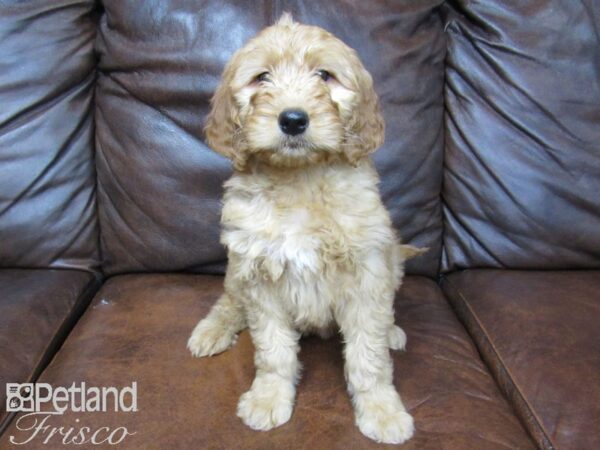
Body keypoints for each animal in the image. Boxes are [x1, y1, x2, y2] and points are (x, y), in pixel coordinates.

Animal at [188, 13, 422, 442]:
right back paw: (211, 330)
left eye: (324, 75)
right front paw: (268, 397)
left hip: (393, 258)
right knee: (229, 301)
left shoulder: (368, 270)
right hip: (236, 270)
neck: (300, 179)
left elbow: (368, 354)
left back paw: (393, 330)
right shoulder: (258, 273)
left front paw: (381, 409)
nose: (293, 119)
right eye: (262, 77)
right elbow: (273, 350)